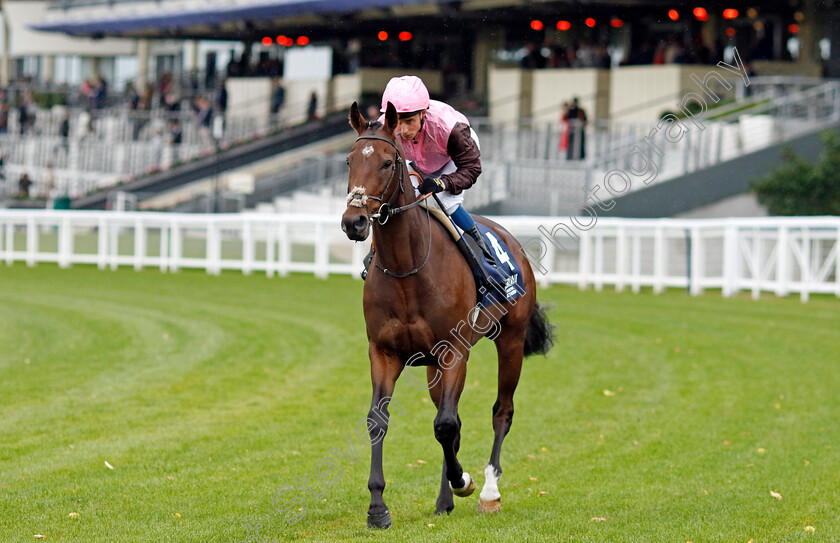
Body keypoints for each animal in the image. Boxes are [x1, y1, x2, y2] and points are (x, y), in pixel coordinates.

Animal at [342, 101, 552, 528]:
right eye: (350, 160)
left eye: (387, 162)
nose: (353, 222)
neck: (407, 269)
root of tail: (513, 242)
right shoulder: (384, 352)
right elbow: (379, 421)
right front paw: (377, 507)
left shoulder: (454, 352)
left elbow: (446, 424)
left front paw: (464, 480)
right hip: (432, 367)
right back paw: (444, 500)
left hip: (510, 341)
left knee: (500, 411)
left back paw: (487, 491)